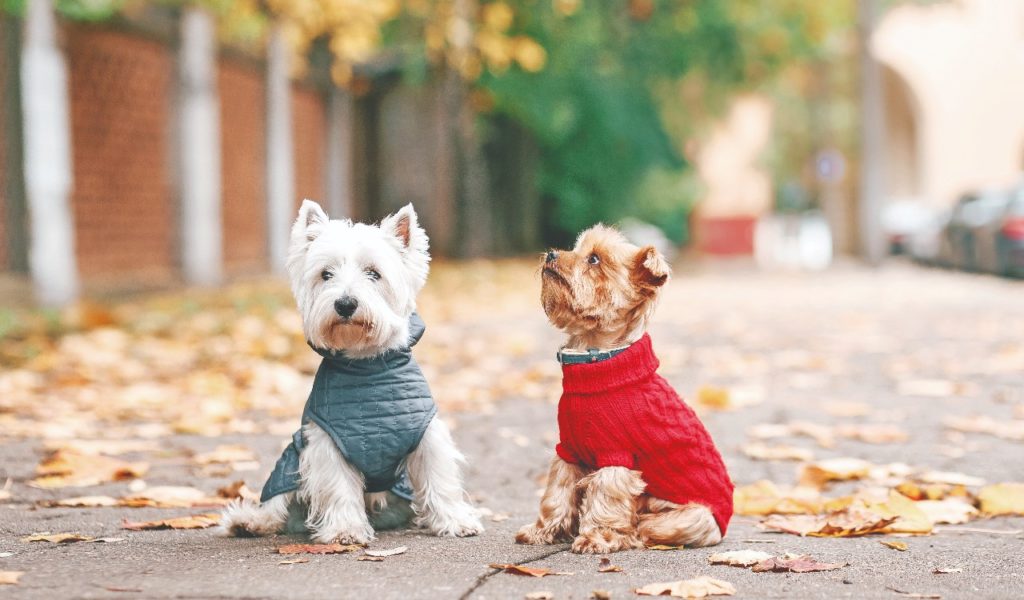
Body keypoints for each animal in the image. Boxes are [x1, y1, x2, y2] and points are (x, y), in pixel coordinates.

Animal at [221, 199, 483, 540]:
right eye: (326, 274)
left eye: (374, 273)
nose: (345, 304)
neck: (367, 368)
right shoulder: (327, 443)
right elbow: (339, 487)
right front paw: (345, 530)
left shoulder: (427, 434)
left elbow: (438, 478)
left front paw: (455, 520)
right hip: (290, 459)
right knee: (277, 503)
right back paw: (250, 521)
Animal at [516, 224, 733, 552]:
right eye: (576, 249)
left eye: (594, 259)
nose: (552, 254)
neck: (596, 360)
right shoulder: (568, 450)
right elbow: (556, 492)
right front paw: (542, 531)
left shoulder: (616, 457)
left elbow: (605, 499)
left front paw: (595, 537)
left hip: (692, 517)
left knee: (645, 527)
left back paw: (628, 534)